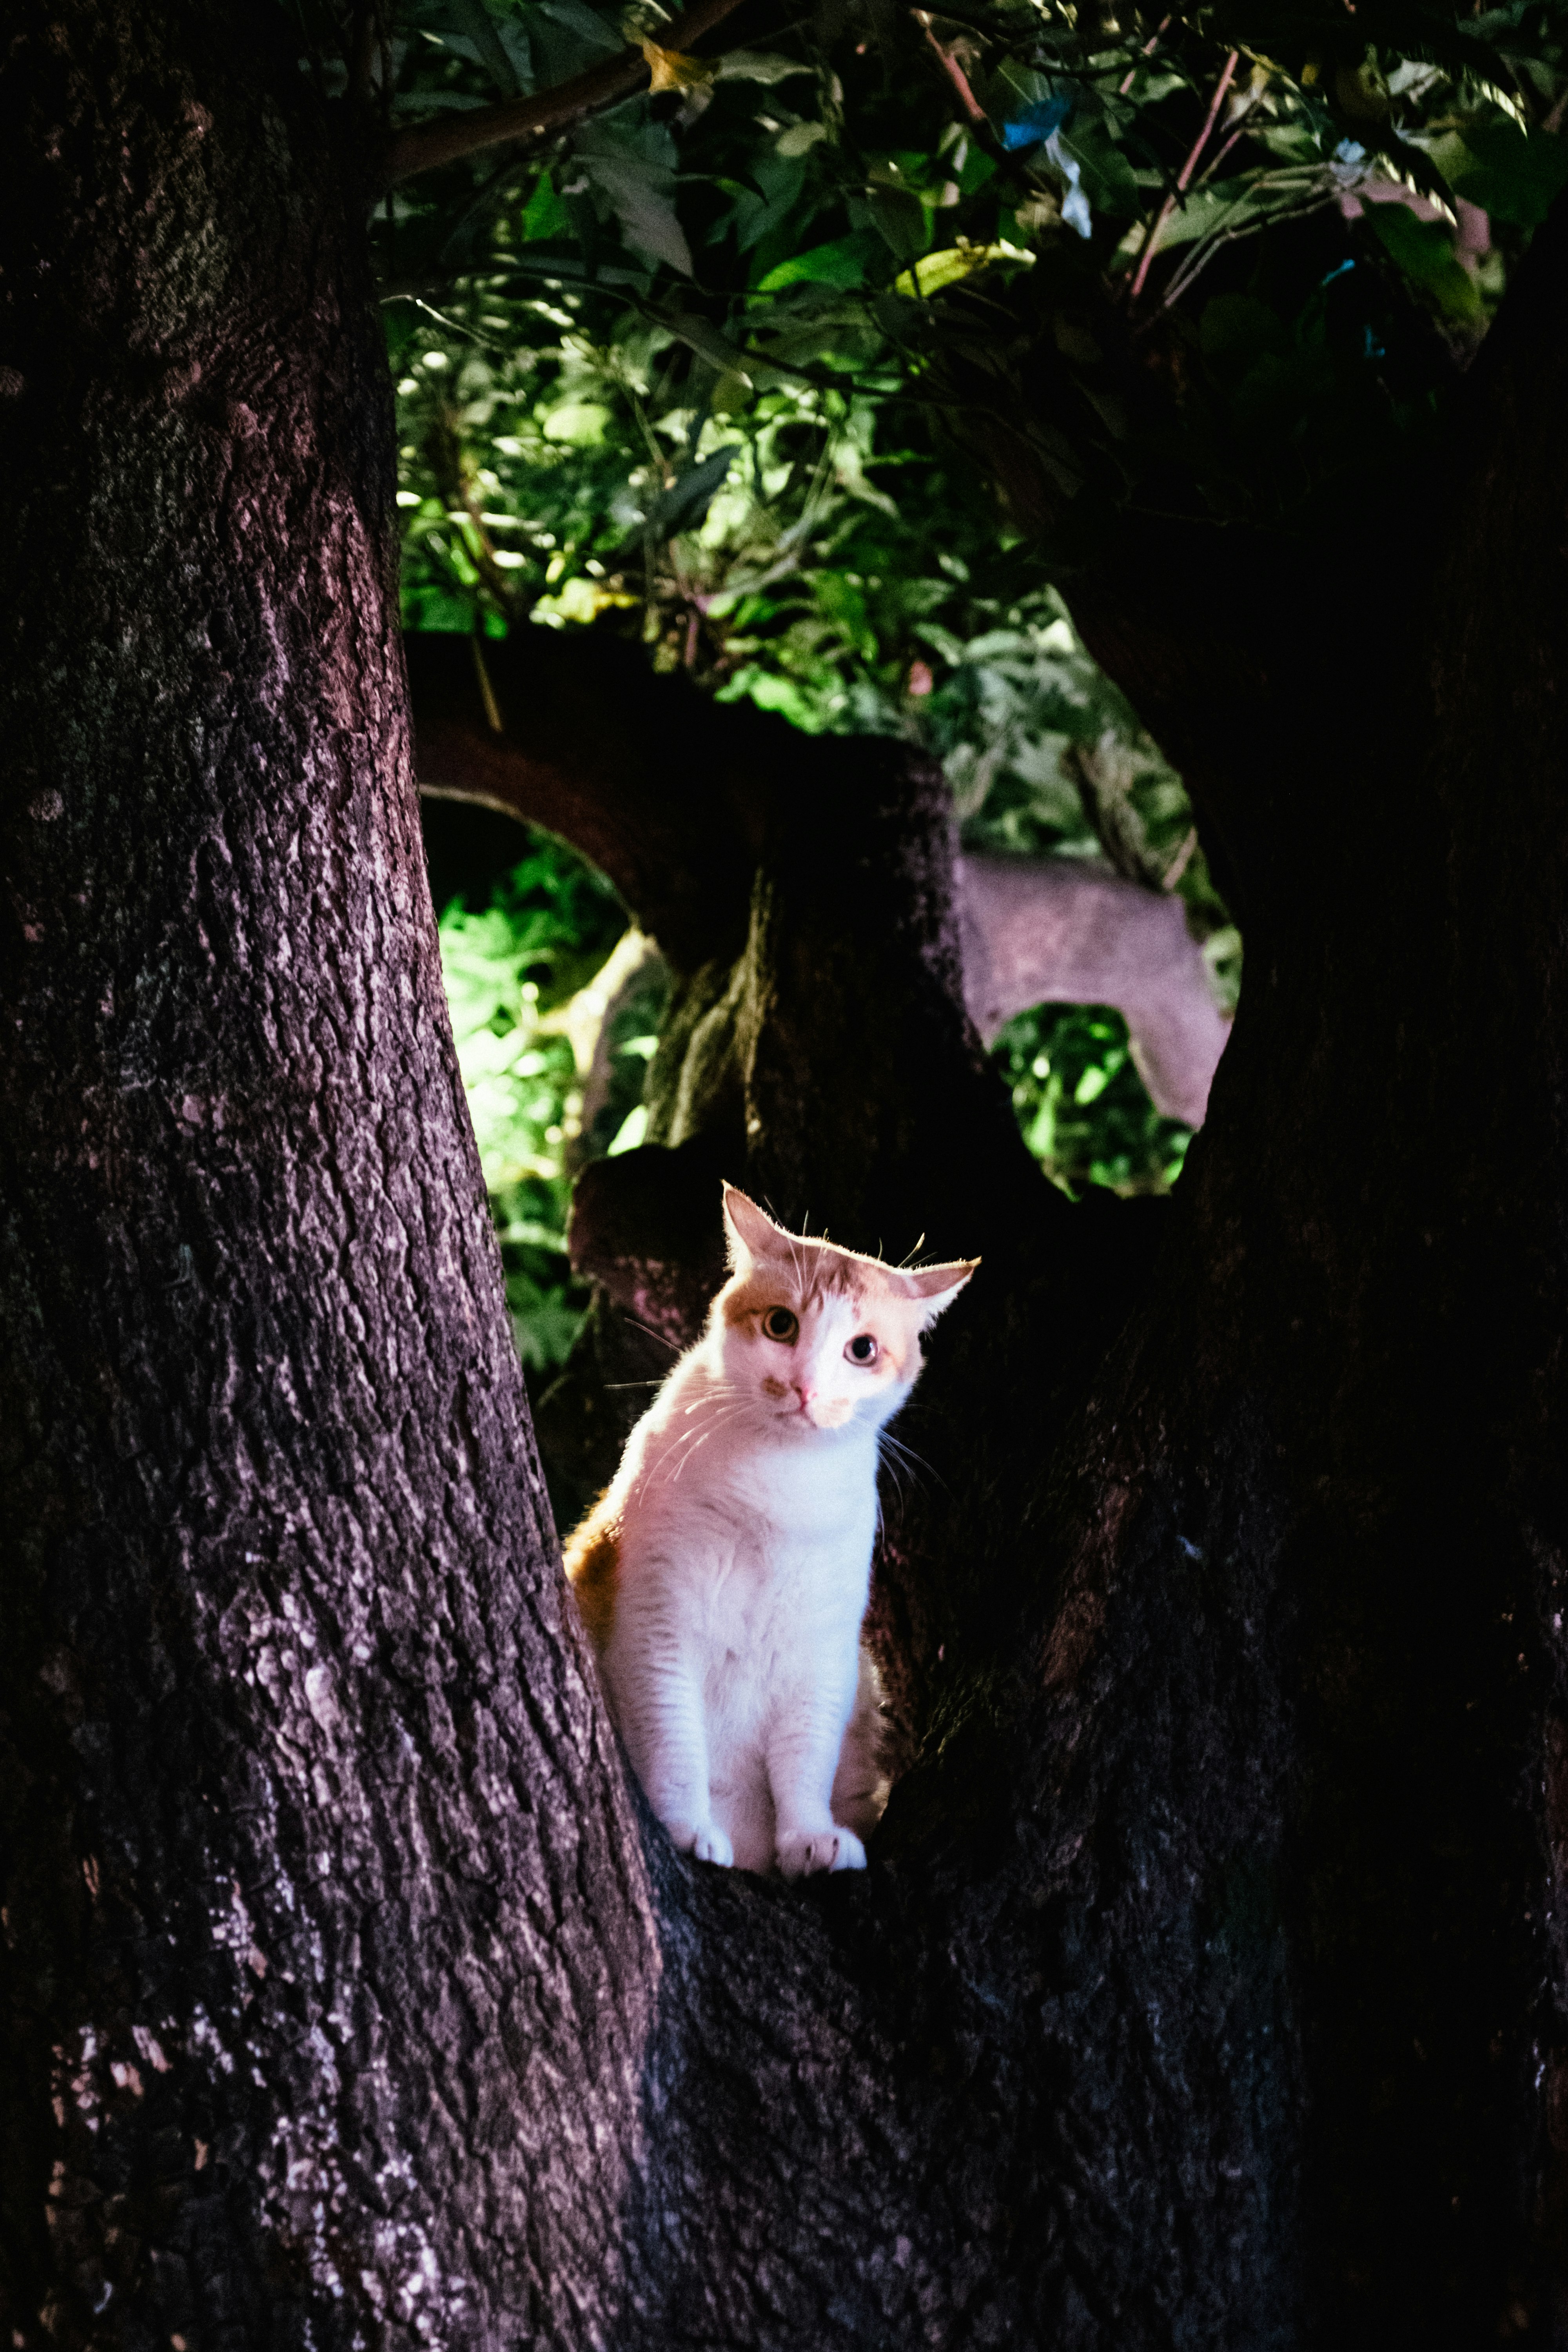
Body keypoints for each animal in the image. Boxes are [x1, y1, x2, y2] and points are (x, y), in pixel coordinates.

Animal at [571, 1185, 973, 1882]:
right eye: (781, 1325)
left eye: (862, 1350)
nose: (803, 1386)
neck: (776, 1488)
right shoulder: (658, 1631)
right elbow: (674, 1745)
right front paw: (688, 1830)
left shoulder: (824, 1655)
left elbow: (805, 1761)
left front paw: (810, 1838)